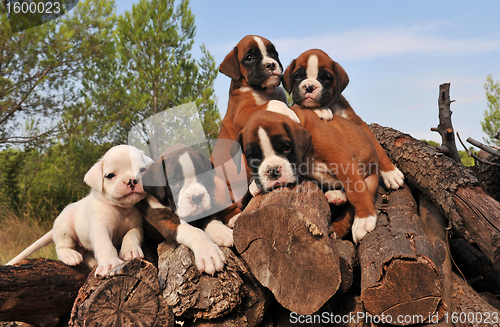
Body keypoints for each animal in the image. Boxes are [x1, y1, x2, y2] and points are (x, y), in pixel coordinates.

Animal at [6, 146, 152, 276]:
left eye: (143, 170)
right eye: (110, 175)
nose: (131, 180)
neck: (121, 208)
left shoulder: (136, 226)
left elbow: (131, 235)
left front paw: (131, 251)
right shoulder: (100, 228)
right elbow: (105, 246)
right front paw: (110, 264)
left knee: (83, 252)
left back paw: (92, 262)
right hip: (66, 229)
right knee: (62, 247)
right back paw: (70, 255)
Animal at [234, 110, 378, 243]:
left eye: (286, 148)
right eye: (252, 158)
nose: (273, 170)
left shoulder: (341, 157)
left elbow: (356, 191)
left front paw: (365, 219)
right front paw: (255, 185)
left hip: (370, 179)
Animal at [284, 50, 404, 191]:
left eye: (326, 78)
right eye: (297, 75)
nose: (309, 86)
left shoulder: (359, 124)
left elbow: (378, 147)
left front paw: (391, 173)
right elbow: (298, 106)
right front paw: (320, 109)